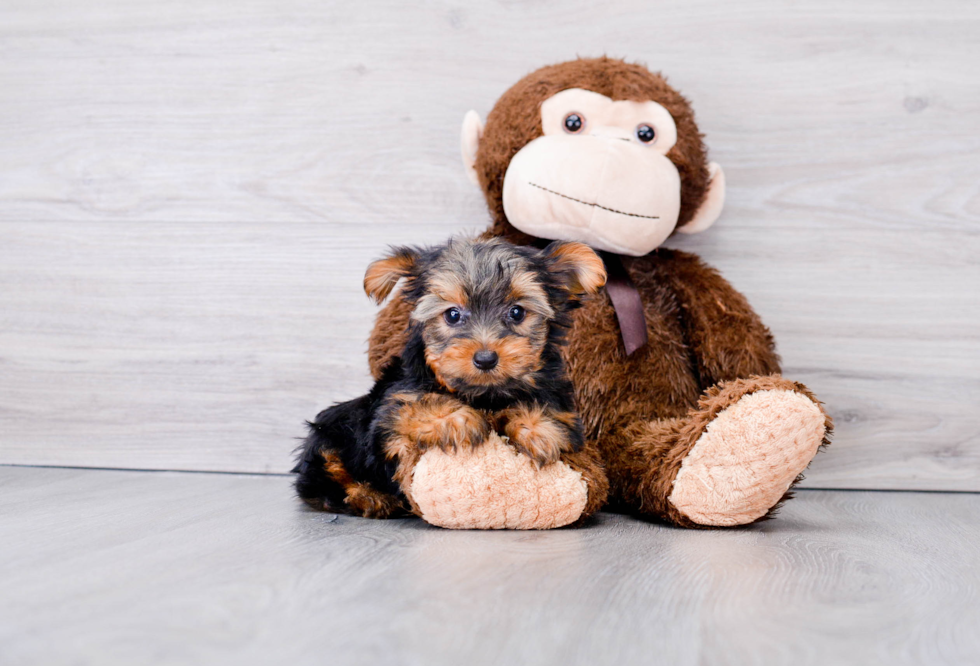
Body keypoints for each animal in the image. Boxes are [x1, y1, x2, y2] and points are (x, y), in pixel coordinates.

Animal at [290, 236, 604, 516]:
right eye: (452, 315)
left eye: (517, 312)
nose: (485, 358)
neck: (483, 395)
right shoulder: (390, 411)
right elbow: (415, 404)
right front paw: (455, 419)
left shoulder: (560, 402)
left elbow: (550, 410)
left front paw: (538, 428)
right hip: (327, 435)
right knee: (325, 475)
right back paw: (368, 496)